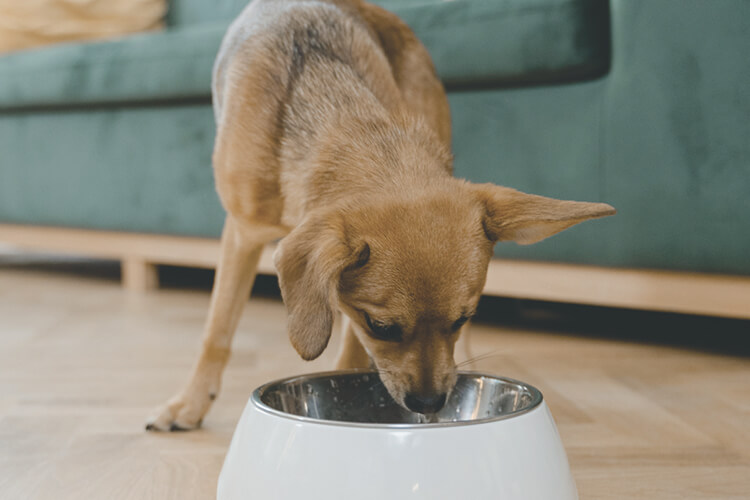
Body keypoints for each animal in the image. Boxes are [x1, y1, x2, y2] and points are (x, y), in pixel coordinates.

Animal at [145, 0, 616, 430]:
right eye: (381, 326)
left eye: (462, 319)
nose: (429, 403)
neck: (341, 119)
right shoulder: (242, 234)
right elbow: (217, 330)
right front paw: (189, 403)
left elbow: (349, 351)